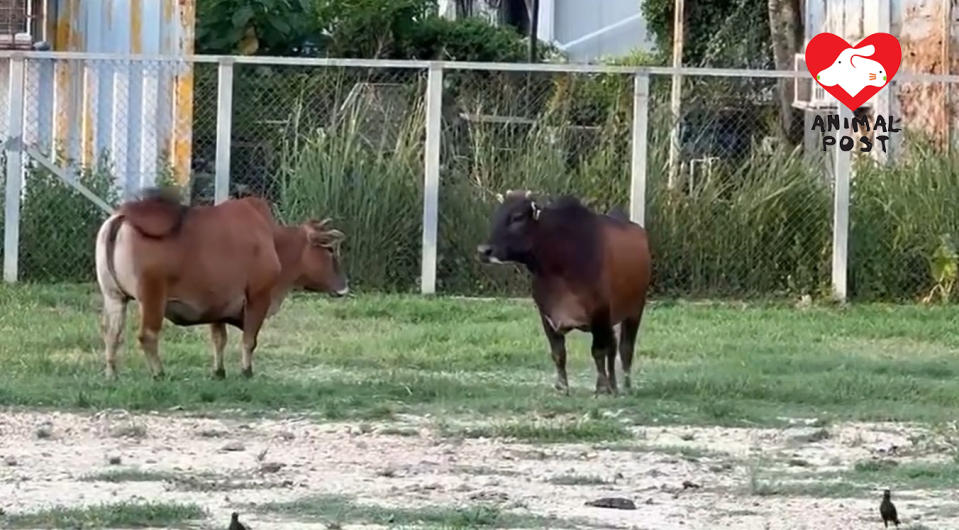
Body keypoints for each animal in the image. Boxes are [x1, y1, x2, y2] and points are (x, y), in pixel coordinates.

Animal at [93, 188, 348, 378]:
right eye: (329, 249)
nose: (344, 286)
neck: (274, 242)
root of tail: (124, 216)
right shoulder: (258, 297)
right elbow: (249, 340)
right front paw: (246, 371)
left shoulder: (217, 305)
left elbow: (219, 339)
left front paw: (219, 371)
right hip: (152, 297)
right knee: (147, 335)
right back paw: (159, 373)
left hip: (114, 296)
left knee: (112, 333)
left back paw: (112, 374)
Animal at [474, 189, 648, 392]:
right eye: (497, 214)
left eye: (517, 217)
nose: (484, 250)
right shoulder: (547, 315)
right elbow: (558, 352)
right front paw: (562, 386)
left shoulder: (599, 313)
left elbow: (598, 351)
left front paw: (601, 388)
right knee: (612, 347)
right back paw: (614, 386)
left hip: (634, 310)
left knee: (625, 349)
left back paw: (625, 386)